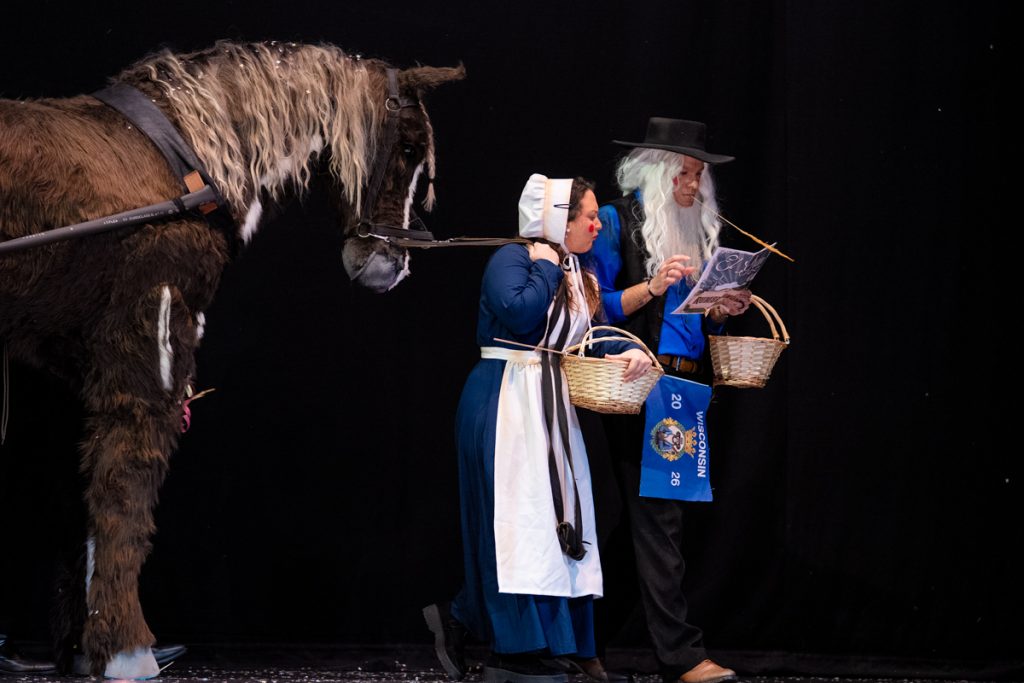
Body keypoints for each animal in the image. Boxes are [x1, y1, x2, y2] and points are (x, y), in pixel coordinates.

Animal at [0, 39, 463, 677]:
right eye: (411, 148)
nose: (391, 265)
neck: (182, 154)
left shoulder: (65, 358)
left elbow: (78, 493)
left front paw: (80, 644)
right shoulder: (151, 332)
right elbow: (125, 484)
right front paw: (125, 647)